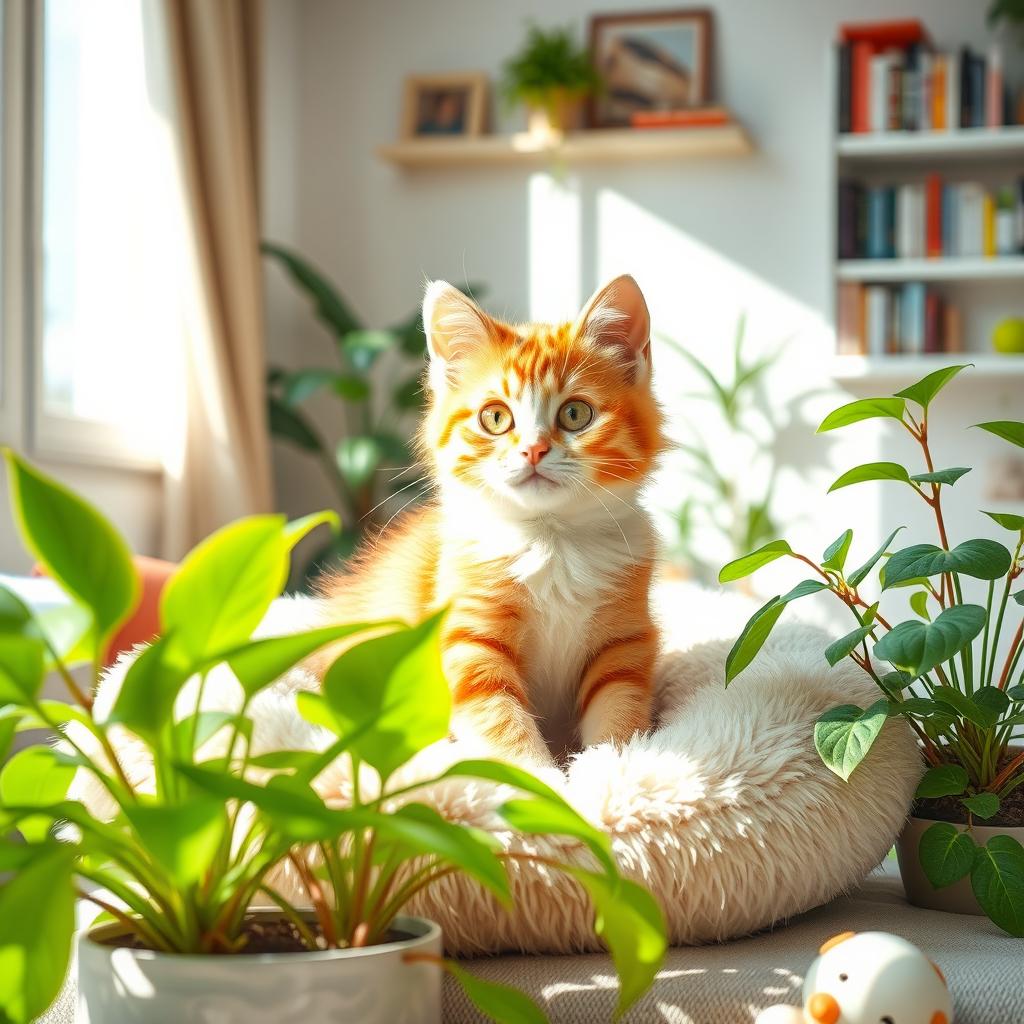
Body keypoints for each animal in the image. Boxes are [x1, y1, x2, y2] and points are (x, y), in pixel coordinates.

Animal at [321, 276, 671, 765]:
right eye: (495, 417)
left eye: (575, 413)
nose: (533, 450)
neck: (549, 540)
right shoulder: (465, 637)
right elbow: (500, 724)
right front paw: (544, 779)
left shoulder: (624, 641)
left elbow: (619, 711)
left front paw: (608, 771)